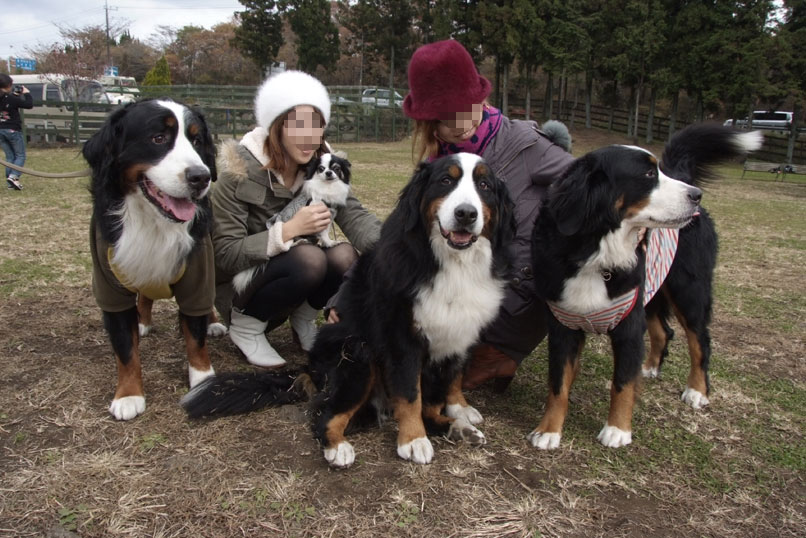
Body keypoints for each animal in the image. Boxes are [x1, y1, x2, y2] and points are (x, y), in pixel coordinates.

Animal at [82, 98, 224, 420]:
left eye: (197, 141)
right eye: (158, 138)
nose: (201, 177)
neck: (153, 221)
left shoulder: (198, 271)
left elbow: (196, 336)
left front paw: (203, 380)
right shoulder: (109, 285)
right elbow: (125, 348)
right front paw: (128, 394)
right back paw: (143, 322)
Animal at [181, 151, 516, 464]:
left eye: (484, 186)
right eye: (446, 181)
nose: (466, 214)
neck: (449, 261)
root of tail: (310, 368)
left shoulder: (459, 333)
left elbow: (448, 382)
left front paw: (458, 409)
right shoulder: (401, 338)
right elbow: (410, 394)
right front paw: (413, 440)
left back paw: (459, 429)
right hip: (357, 356)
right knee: (325, 416)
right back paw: (338, 448)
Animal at [532, 122, 764, 448]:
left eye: (656, 171)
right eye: (647, 175)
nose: (696, 195)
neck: (596, 252)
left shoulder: (628, 325)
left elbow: (622, 383)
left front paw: (617, 430)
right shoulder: (564, 324)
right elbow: (558, 383)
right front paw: (549, 430)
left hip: (688, 292)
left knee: (700, 341)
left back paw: (697, 391)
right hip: (653, 293)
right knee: (664, 332)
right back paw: (650, 367)